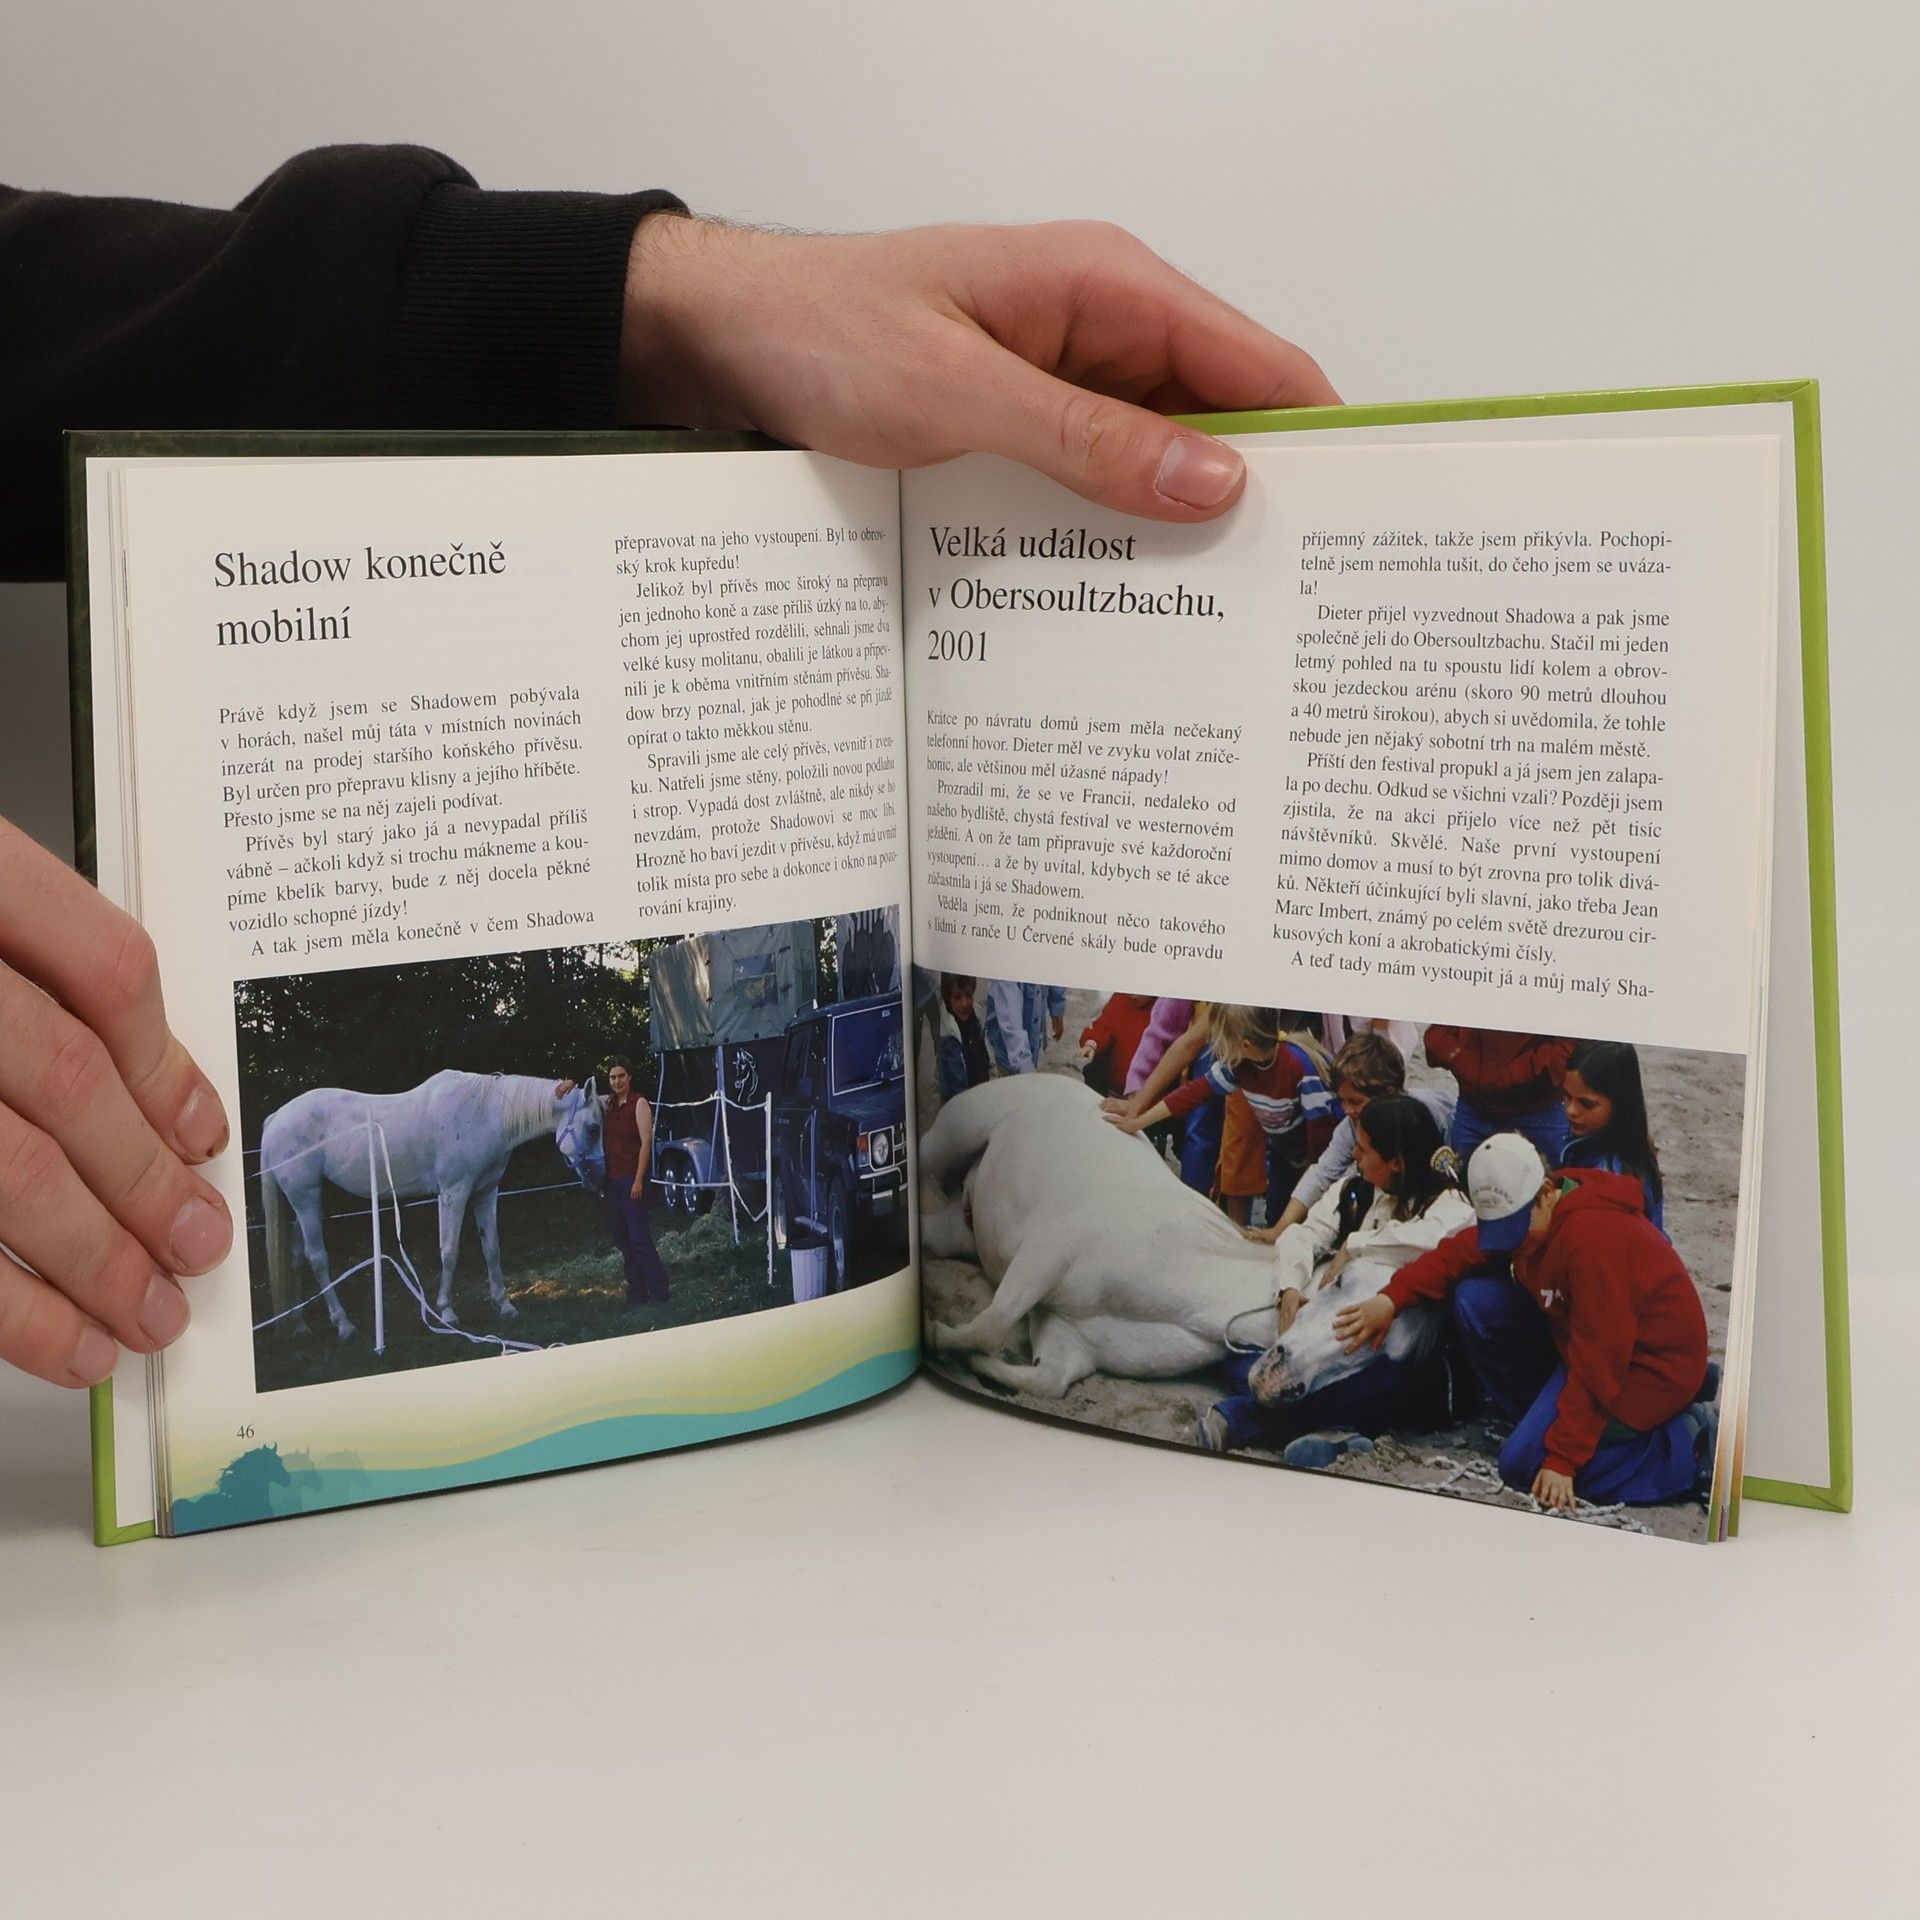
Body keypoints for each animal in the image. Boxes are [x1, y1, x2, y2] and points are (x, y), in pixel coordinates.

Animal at [259, 1070, 604, 1340]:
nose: (601, 1175)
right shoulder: (453, 1193)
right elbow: (449, 1251)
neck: (485, 1114)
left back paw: (300, 1325)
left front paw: (505, 1306)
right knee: (317, 1258)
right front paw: (447, 1312)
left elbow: (491, 1249)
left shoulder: (486, 1193)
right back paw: (343, 1325)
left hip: (313, 1202)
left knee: (296, 1256)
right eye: (593, 1128)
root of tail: (275, 1119)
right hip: (305, 1199)